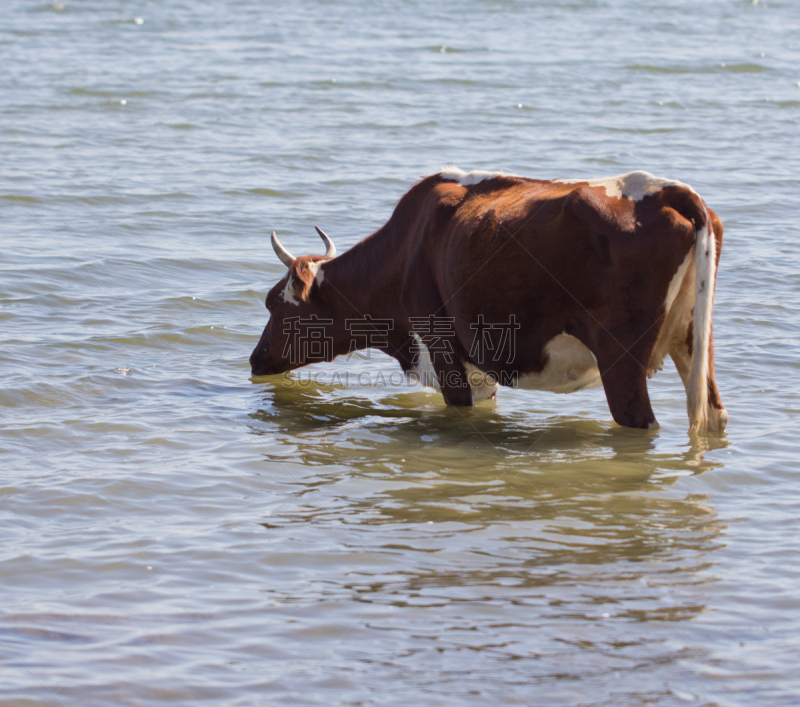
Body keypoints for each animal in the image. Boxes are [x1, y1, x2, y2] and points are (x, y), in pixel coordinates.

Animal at [250, 167, 724, 432]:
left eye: (273, 303)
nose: (254, 359)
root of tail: (664, 190)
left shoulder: (443, 353)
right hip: (694, 344)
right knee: (713, 417)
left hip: (620, 362)